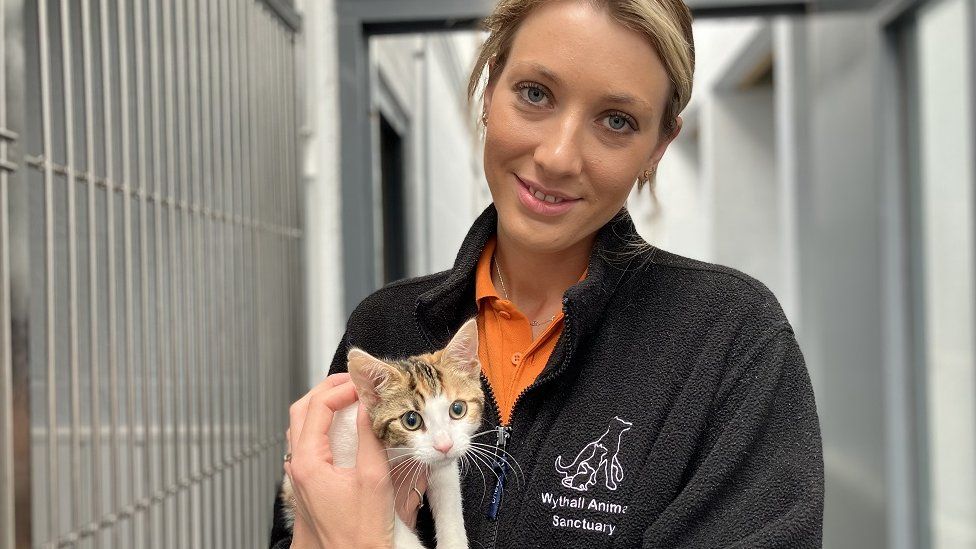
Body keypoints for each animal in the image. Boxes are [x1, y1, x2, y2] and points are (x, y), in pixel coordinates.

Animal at [280, 316, 482, 548]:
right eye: (411, 420)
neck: (398, 452)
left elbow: (448, 493)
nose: (445, 445)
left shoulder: (442, 464)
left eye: (457, 409)